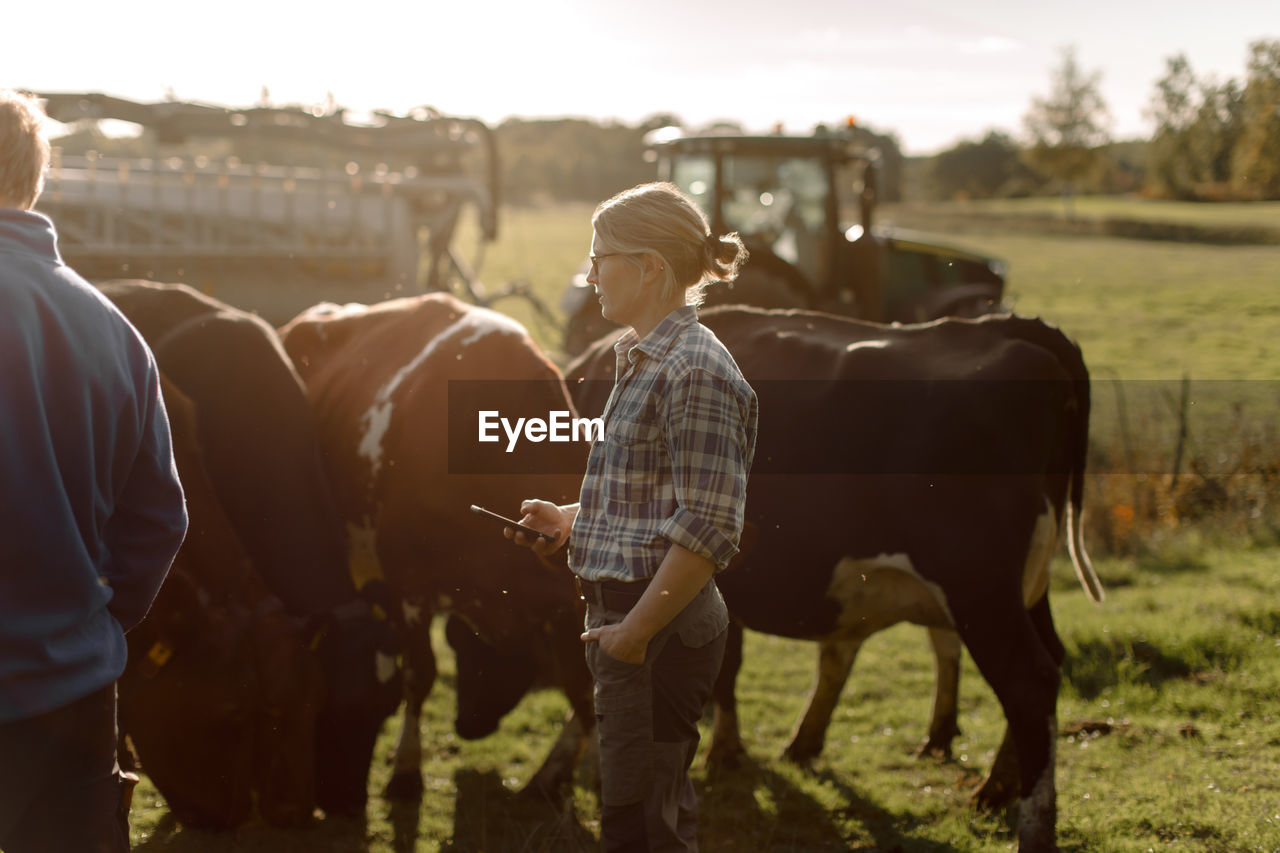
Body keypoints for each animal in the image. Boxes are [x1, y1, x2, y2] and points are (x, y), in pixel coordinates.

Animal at [280, 290, 588, 799]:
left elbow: (584, 692)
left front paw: (553, 773)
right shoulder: (408, 578)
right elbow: (418, 673)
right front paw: (406, 768)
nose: (468, 725)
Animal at [565, 306, 1105, 850]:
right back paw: (993, 788)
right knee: (1050, 659)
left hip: (978, 584)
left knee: (1028, 682)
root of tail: (1010, 327)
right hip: (1026, 585)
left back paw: (1032, 824)